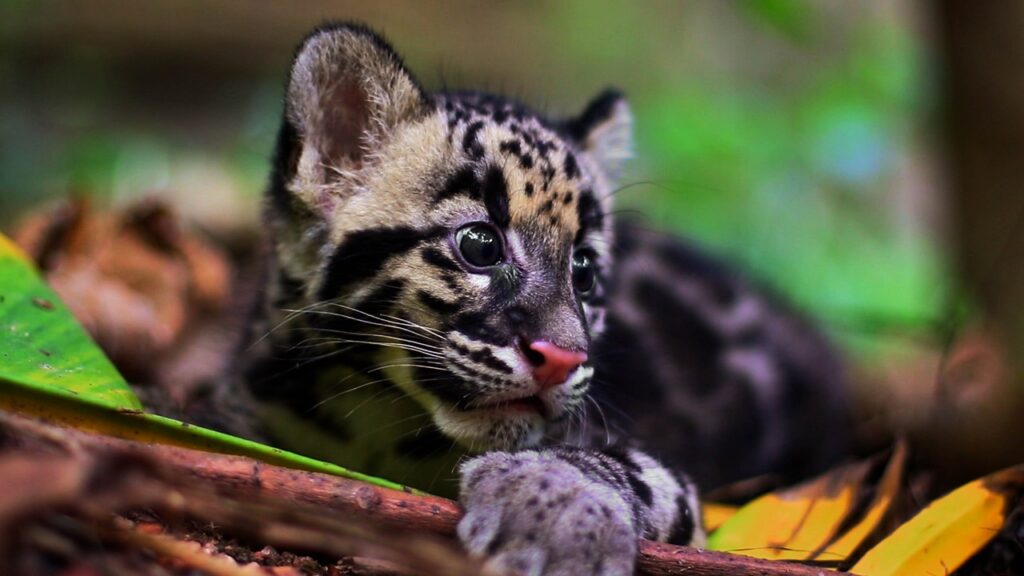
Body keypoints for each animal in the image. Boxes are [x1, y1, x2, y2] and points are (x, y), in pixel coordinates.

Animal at [202, 23, 850, 575]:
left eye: (584, 271)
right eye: (480, 245)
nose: (562, 360)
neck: (377, 423)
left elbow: (640, 471)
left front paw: (556, 507)